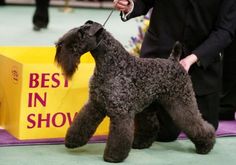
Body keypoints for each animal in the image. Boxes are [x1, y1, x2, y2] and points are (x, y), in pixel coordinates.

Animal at [54, 20, 216, 162]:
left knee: (196, 123)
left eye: (81, 33)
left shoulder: (120, 112)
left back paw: (206, 145)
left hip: (182, 101)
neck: (112, 64)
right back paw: (140, 143)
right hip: (148, 107)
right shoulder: (95, 104)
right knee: (151, 125)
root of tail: (174, 61)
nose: (59, 45)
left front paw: (113, 156)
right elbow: (82, 122)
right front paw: (72, 141)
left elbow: (119, 135)